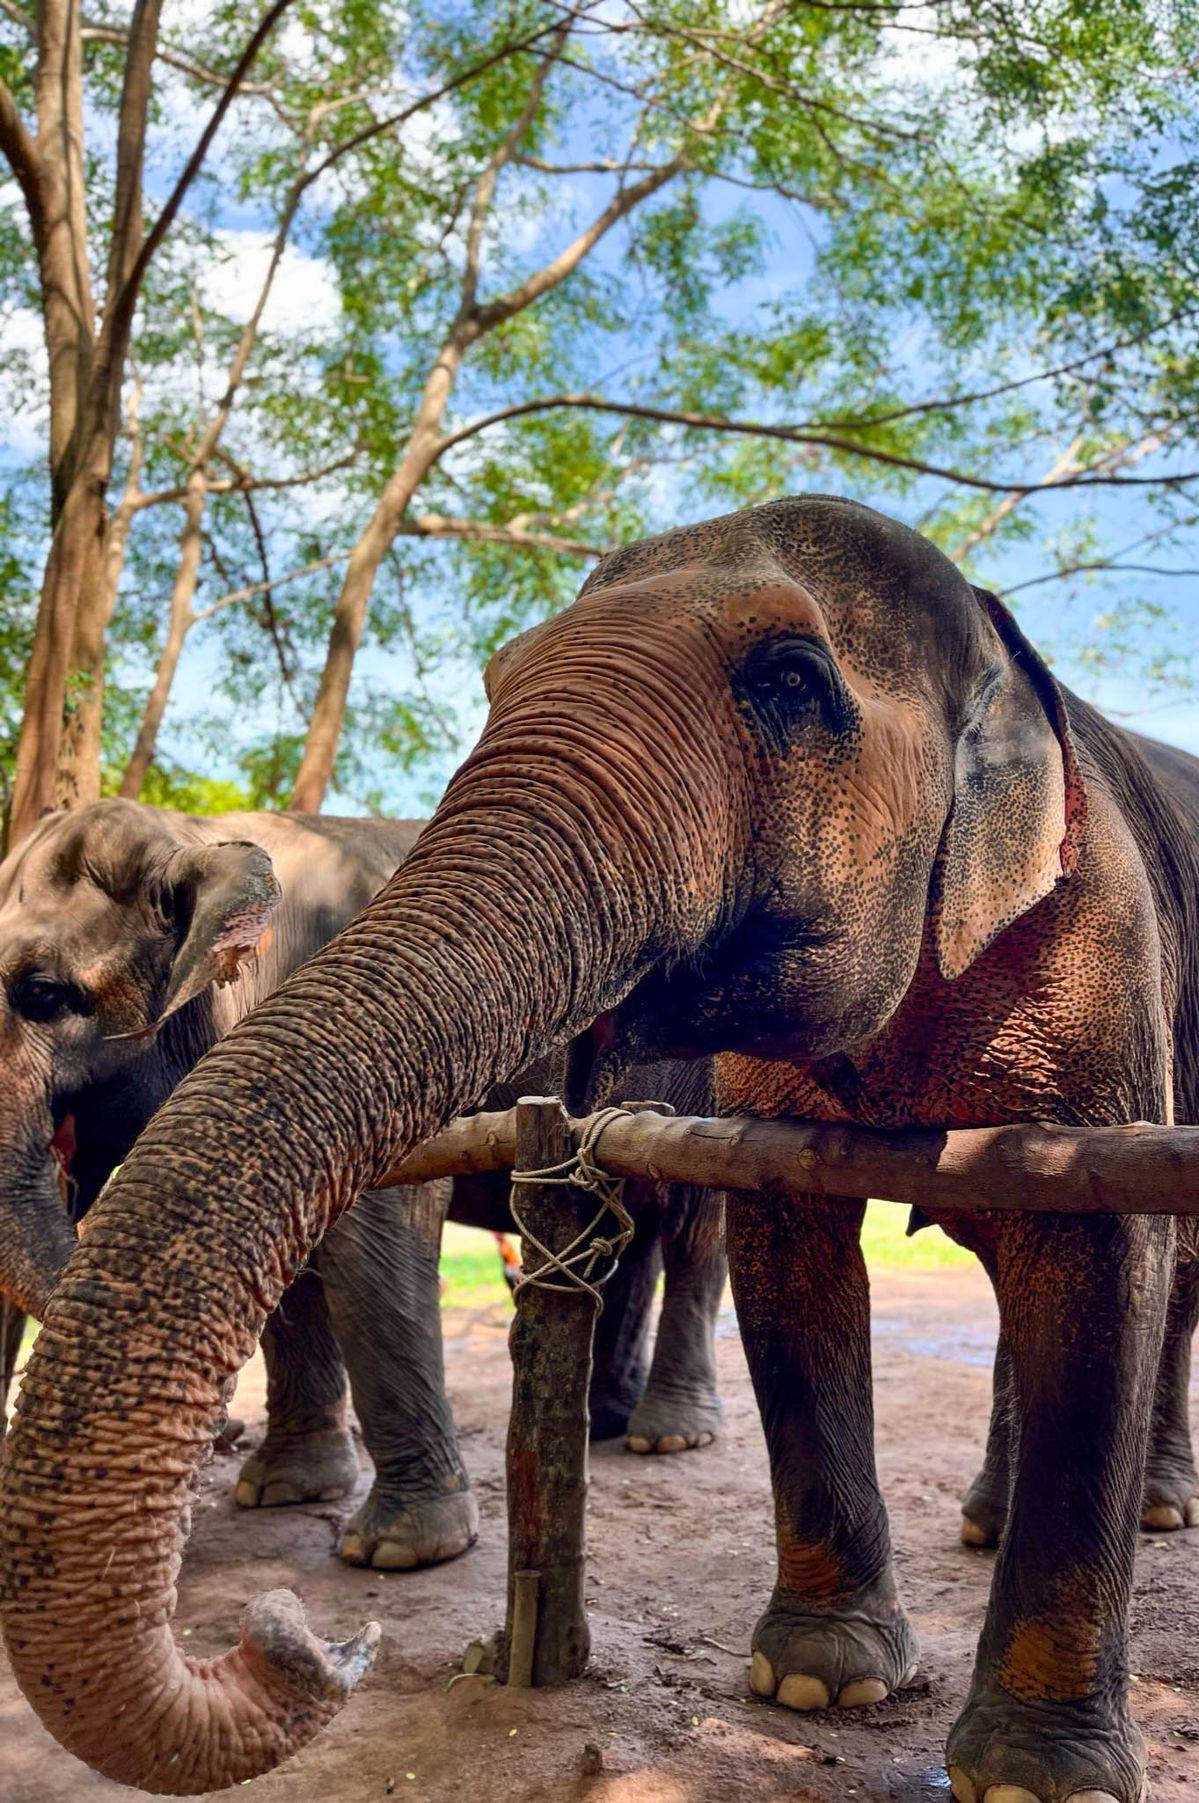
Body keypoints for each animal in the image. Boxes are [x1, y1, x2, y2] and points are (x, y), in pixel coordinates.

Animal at [0, 801, 726, 1571]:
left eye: (43, 993)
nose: (225, 1429)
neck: (200, 834)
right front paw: (283, 1492)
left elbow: (372, 1243)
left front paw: (401, 1551)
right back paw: (607, 1424)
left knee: (692, 1231)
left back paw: (667, 1435)